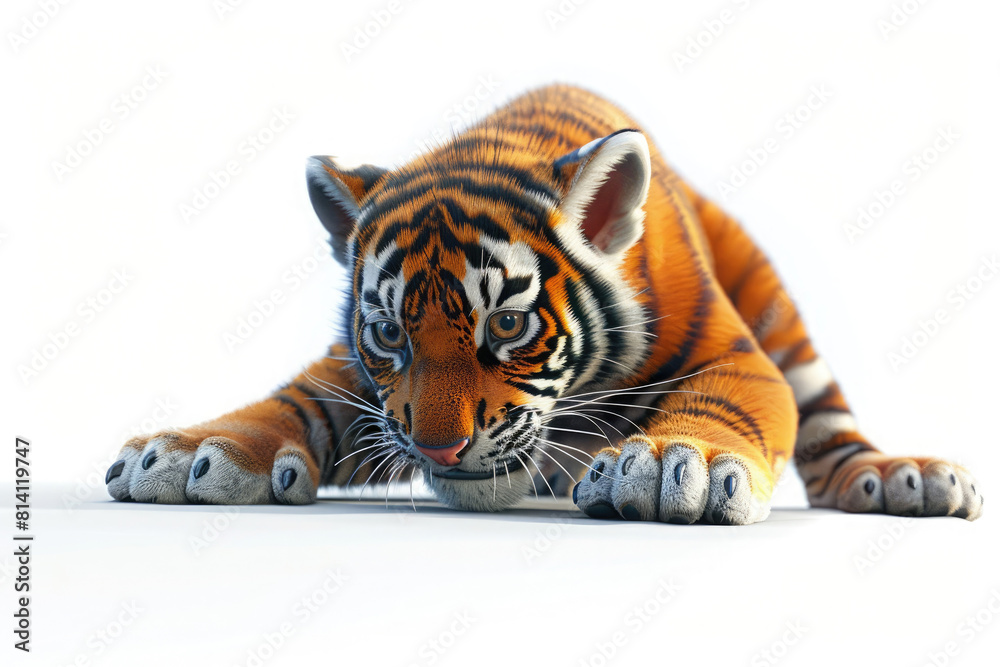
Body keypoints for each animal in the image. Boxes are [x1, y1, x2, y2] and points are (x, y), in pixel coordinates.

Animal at [105, 84, 983, 524]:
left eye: (508, 323)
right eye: (388, 333)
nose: (441, 450)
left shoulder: (739, 358)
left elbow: (721, 407)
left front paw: (676, 463)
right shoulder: (353, 379)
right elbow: (293, 401)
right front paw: (188, 450)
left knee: (833, 436)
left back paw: (903, 479)